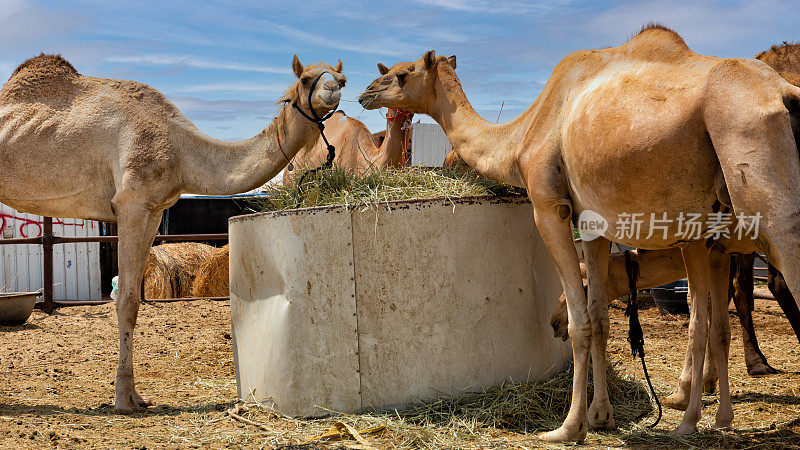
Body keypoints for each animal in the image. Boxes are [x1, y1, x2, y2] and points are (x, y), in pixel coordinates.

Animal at [0, 53, 344, 412]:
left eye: (341, 77)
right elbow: (125, 301)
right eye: (305, 79)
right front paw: (123, 399)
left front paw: (138, 396)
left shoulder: (154, 210)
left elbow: (135, 298)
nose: (334, 88)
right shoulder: (131, 203)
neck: (182, 151)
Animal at [360, 22, 800, 442]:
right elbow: (601, 316)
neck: (521, 135)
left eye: (401, 73)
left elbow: (579, 322)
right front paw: (602, 416)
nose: (367, 92)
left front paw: (569, 427)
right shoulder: (595, 226)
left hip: (754, 165)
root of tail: (785, 94)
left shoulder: (549, 208)